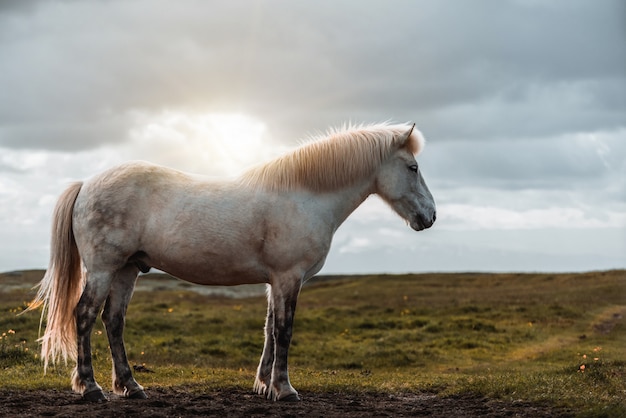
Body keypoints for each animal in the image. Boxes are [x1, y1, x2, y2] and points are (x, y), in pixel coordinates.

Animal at [29, 121, 434, 402]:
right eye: (412, 168)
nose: (429, 216)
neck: (304, 196)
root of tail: (86, 184)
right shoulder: (288, 278)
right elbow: (284, 330)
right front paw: (285, 389)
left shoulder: (277, 281)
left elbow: (270, 330)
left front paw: (264, 386)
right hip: (102, 269)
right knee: (84, 316)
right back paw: (91, 387)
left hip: (127, 270)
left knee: (113, 322)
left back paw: (131, 386)